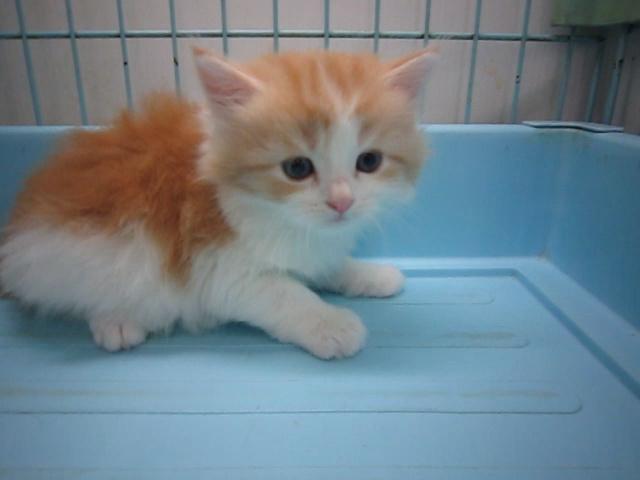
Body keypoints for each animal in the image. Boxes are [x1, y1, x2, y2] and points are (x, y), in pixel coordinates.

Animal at [0, 47, 436, 359]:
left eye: (369, 161)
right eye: (297, 167)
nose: (342, 202)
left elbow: (323, 265)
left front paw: (369, 274)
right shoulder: (218, 267)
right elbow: (285, 293)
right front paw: (330, 324)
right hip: (93, 256)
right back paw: (116, 322)